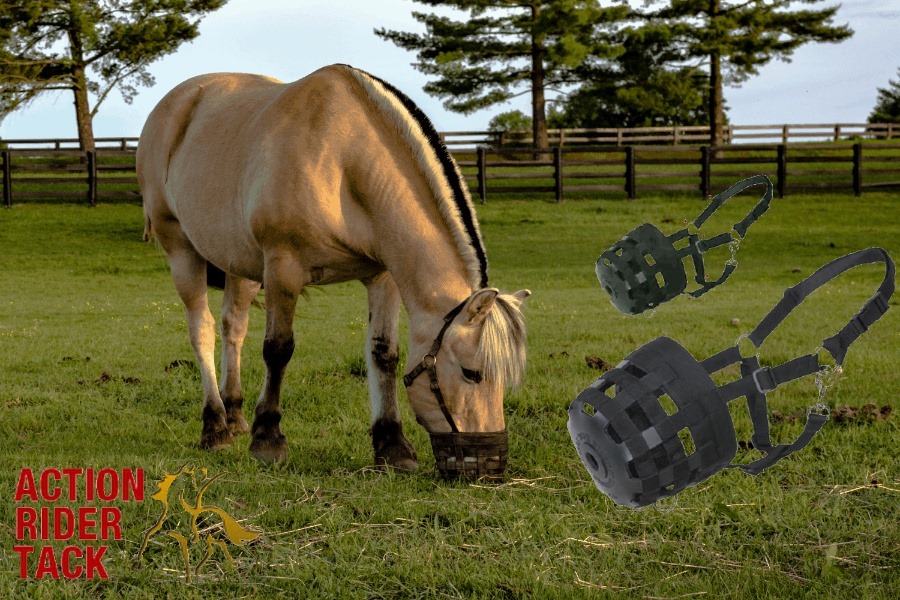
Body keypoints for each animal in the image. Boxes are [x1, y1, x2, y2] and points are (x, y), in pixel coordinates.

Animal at [136, 64, 530, 479]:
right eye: (472, 373)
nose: (490, 464)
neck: (343, 161)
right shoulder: (283, 270)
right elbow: (278, 349)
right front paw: (268, 440)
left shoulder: (382, 277)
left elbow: (383, 353)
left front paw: (392, 444)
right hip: (181, 249)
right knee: (202, 330)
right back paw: (215, 426)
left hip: (240, 265)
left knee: (233, 328)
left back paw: (235, 415)